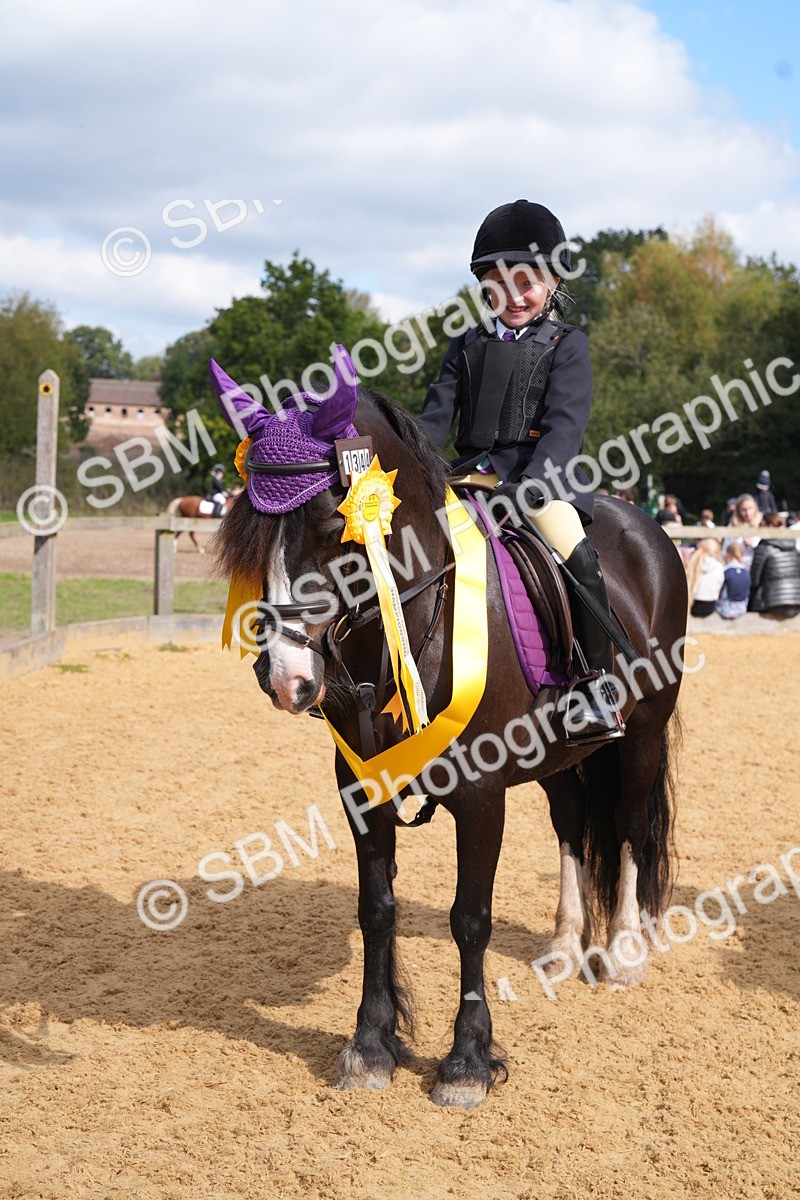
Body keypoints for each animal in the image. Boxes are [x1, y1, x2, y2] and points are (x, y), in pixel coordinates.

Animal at [211, 349, 687, 1109]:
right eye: (249, 533)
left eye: (331, 526)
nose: (285, 678)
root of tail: (643, 527)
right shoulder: (360, 786)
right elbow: (376, 909)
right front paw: (371, 1045)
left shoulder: (482, 793)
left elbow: (471, 918)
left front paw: (467, 1061)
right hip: (558, 757)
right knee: (574, 826)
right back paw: (564, 947)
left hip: (642, 731)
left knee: (632, 825)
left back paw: (623, 954)